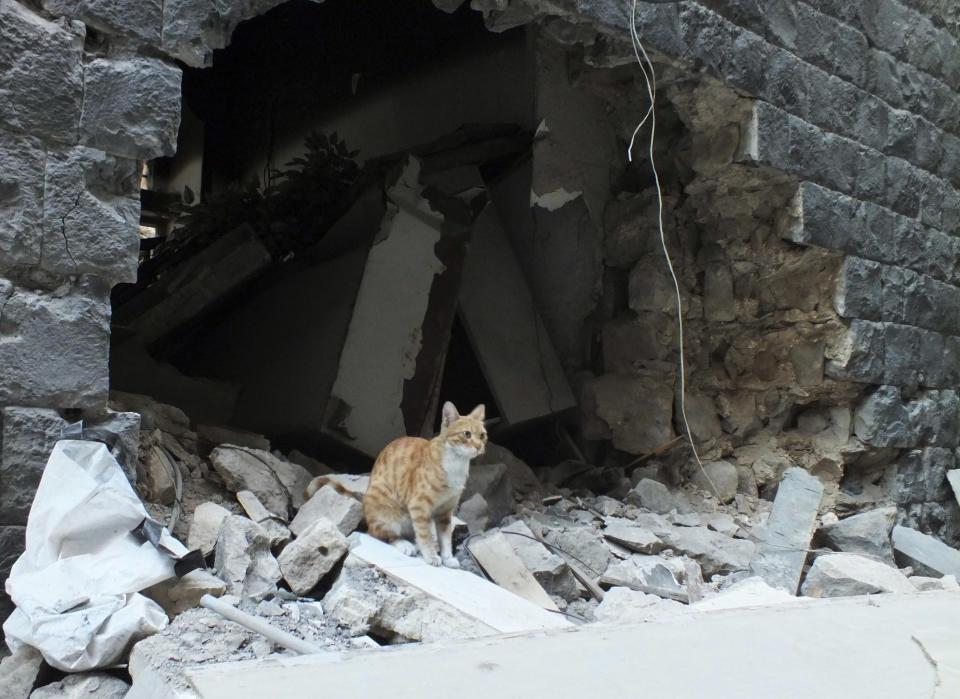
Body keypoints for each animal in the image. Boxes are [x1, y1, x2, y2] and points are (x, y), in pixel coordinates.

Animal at [366, 402, 488, 568]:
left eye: (482, 436)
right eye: (467, 434)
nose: (478, 446)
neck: (456, 464)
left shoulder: (445, 512)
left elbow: (445, 539)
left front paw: (447, 558)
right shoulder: (419, 506)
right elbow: (424, 535)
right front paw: (431, 556)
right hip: (386, 510)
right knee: (385, 535)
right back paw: (406, 545)